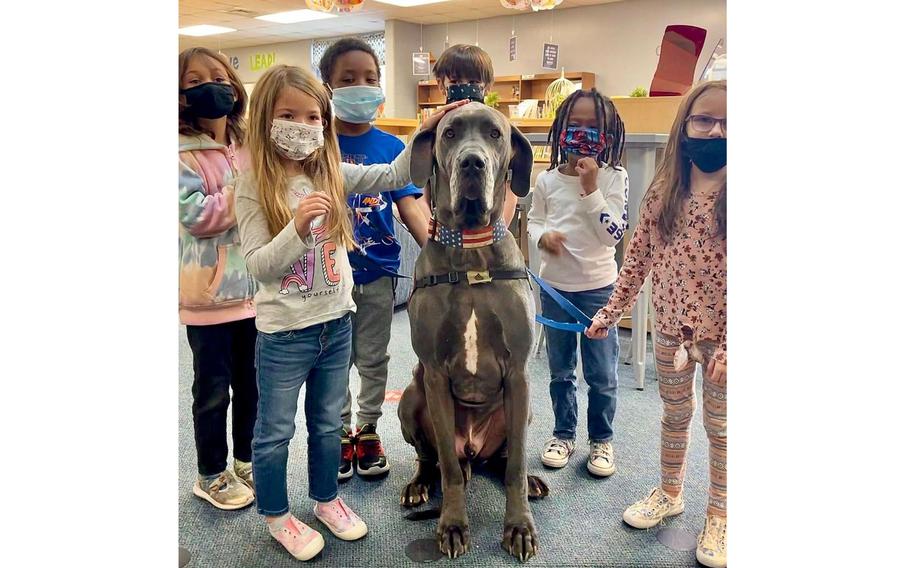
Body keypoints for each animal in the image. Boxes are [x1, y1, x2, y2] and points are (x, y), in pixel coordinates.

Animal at [400, 103, 548, 564]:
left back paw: (527, 479)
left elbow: (516, 463)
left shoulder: (518, 375)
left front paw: (519, 527)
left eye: (495, 134)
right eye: (449, 133)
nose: (472, 162)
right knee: (435, 459)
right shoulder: (433, 375)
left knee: (504, 457)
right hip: (411, 400)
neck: (471, 253)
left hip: (523, 410)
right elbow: (447, 468)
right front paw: (451, 525)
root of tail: (473, 449)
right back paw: (418, 485)